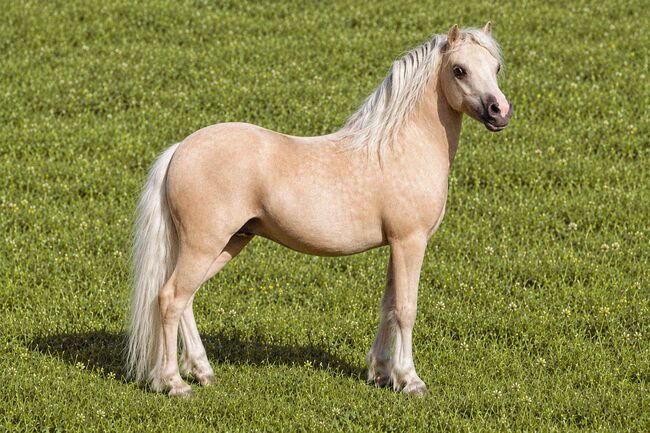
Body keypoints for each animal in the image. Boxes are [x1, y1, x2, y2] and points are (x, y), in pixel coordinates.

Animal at [127, 23, 513, 397]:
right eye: (459, 70)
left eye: (495, 67)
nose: (500, 112)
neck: (398, 147)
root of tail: (180, 148)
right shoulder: (410, 242)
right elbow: (405, 309)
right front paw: (410, 381)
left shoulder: (395, 246)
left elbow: (388, 306)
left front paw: (381, 373)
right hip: (203, 245)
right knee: (170, 298)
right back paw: (174, 383)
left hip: (226, 243)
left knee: (185, 299)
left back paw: (203, 373)